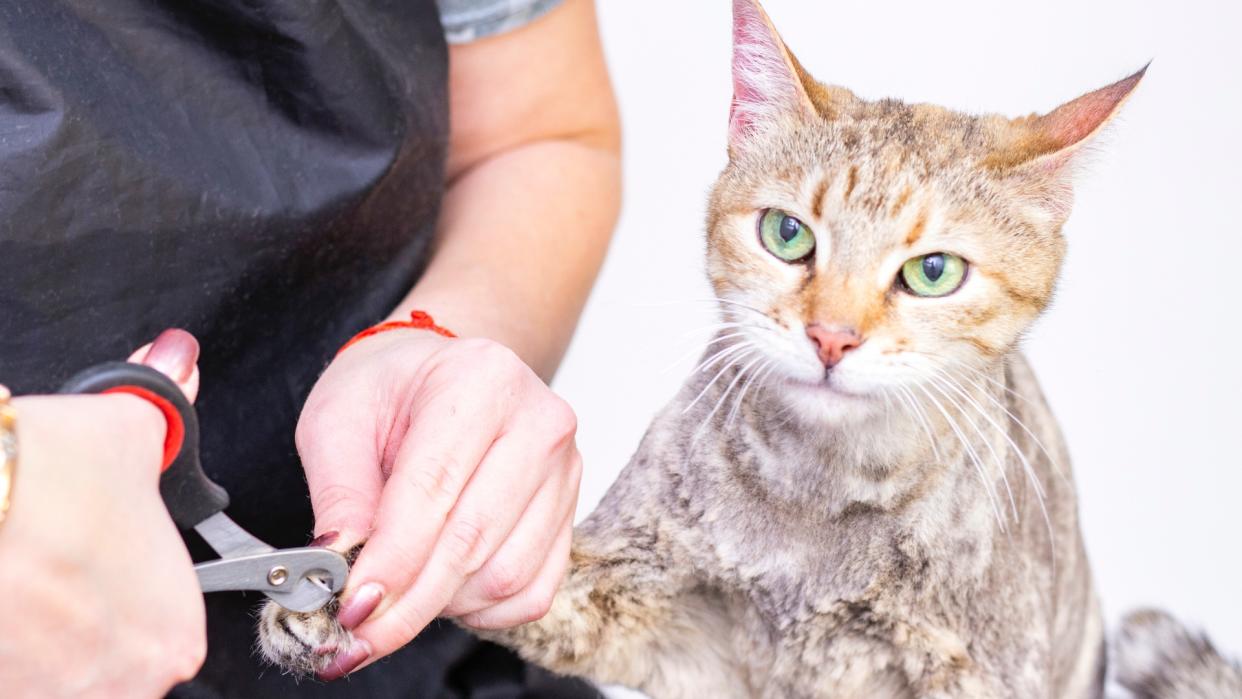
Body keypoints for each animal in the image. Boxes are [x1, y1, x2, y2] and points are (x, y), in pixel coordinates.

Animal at [259, 2, 1242, 695]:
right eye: (786, 233)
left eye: (931, 272)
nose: (832, 334)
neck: (820, 509)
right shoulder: (660, 614)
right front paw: (333, 592)